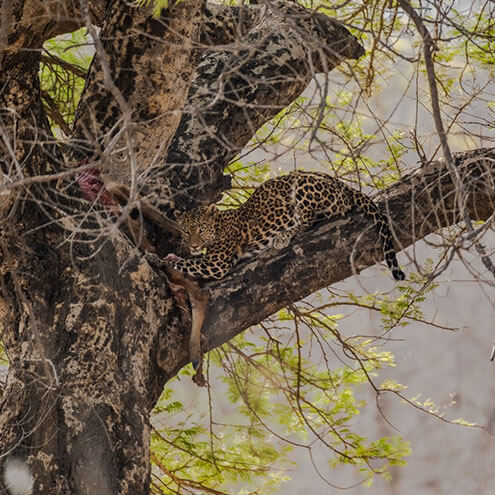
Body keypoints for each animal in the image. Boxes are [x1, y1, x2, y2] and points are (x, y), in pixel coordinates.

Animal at [165, 171, 404, 282]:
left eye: (201, 229)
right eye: (186, 231)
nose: (194, 245)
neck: (219, 225)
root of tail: (342, 185)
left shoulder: (217, 263)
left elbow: (188, 263)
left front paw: (161, 260)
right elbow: (190, 260)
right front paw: (175, 255)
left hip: (302, 187)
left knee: (313, 220)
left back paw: (283, 236)